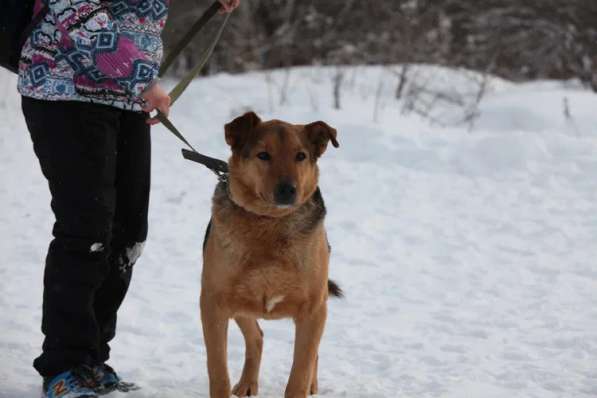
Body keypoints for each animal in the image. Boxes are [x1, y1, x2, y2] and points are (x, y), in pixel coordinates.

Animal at [200, 111, 340, 398]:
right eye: (263, 155)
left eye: (300, 156)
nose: (288, 190)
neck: (270, 222)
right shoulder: (213, 303)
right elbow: (218, 371)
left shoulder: (313, 311)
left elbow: (299, 373)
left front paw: (303, 382)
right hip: (239, 304)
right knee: (257, 337)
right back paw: (247, 383)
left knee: (310, 353)